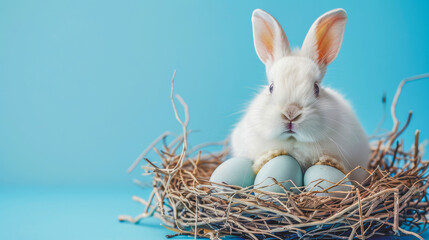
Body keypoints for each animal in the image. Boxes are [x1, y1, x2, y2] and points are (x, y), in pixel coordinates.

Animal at [232, 8, 370, 183]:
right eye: (271, 87)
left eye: (316, 88)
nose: (290, 113)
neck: (294, 143)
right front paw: (269, 157)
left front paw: (331, 162)